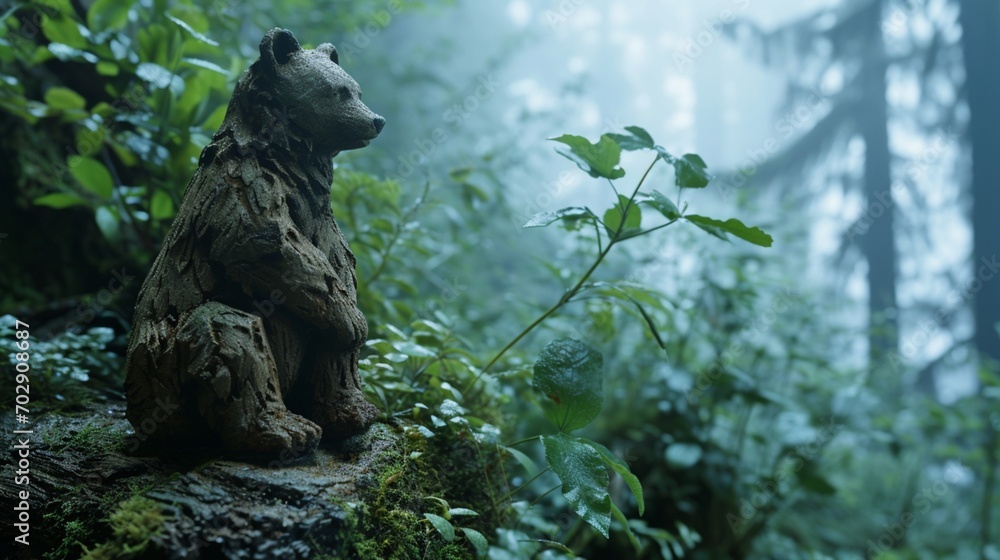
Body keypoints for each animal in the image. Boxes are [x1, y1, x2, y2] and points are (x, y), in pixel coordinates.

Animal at [124, 28, 384, 457]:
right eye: (341, 92)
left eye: (358, 90)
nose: (376, 120)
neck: (289, 160)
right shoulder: (244, 186)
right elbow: (267, 244)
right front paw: (354, 321)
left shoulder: (322, 221)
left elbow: (338, 268)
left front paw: (353, 323)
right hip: (163, 360)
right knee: (233, 337)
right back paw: (286, 430)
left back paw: (351, 412)